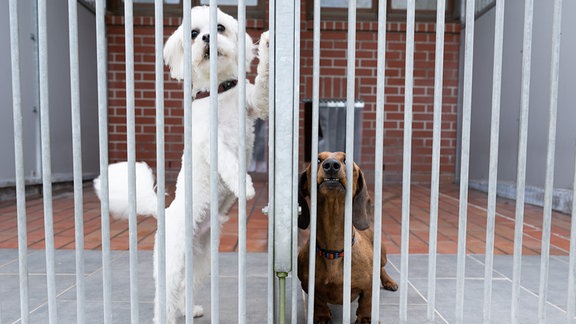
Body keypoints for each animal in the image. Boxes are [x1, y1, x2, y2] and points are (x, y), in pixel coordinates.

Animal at [93, 5, 270, 324]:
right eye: (194, 33)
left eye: (220, 27)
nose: (207, 38)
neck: (219, 91)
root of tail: (163, 214)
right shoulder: (209, 141)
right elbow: (229, 161)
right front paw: (244, 186)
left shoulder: (254, 104)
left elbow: (262, 84)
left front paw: (266, 45)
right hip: (172, 262)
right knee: (164, 296)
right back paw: (166, 315)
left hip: (201, 259)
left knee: (184, 289)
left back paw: (188, 310)